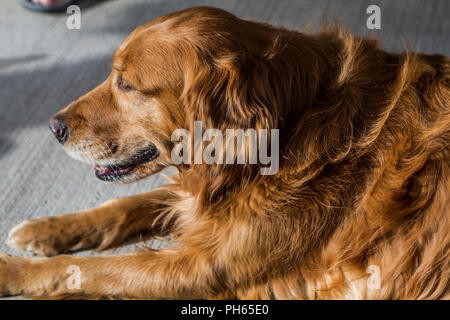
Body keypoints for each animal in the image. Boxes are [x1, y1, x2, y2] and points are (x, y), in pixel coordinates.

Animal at [0, 6, 450, 298]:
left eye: (126, 84)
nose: (53, 126)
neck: (293, 122)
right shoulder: (202, 195)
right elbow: (123, 206)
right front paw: (46, 229)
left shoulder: (202, 268)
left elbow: (89, 270)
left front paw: (12, 271)